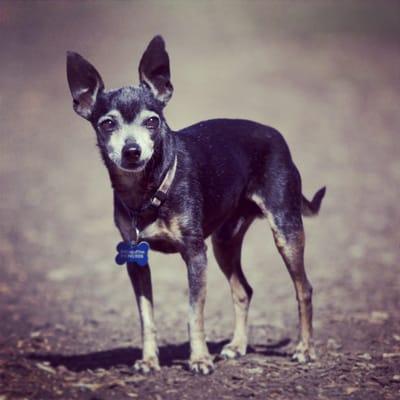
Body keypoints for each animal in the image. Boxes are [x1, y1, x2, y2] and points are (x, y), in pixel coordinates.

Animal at [67, 35, 326, 376]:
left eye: (153, 122)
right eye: (107, 124)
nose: (132, 151)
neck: (149, 189)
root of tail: (276, 135)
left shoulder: (194, 254)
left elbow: (194, 313)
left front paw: (200, 359)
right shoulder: (137, 260)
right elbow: (146, 317)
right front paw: (149, 360)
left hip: (285, 230)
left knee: (304, 289)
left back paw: (305, 349)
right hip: (224, 242)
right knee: (243, 290)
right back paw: (237, 346)